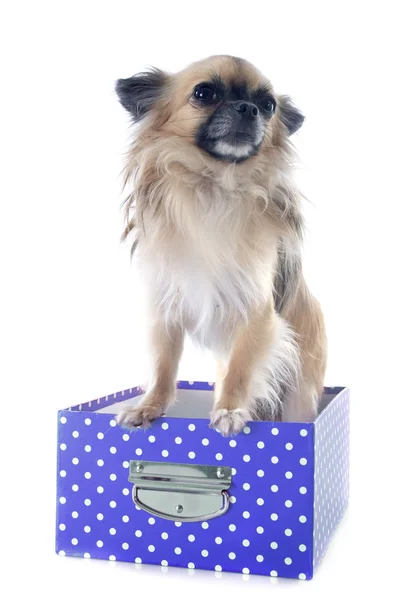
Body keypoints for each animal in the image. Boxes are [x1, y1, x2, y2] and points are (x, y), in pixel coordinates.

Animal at [115, 55, 326, 436]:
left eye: (269, 106)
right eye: (204, 93)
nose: (248, 108)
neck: (214, 185)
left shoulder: (256, 310)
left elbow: (241, 367)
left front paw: (229, 410)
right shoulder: (166, 306)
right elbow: (163, 365)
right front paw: (148, 407)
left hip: (301, 390)